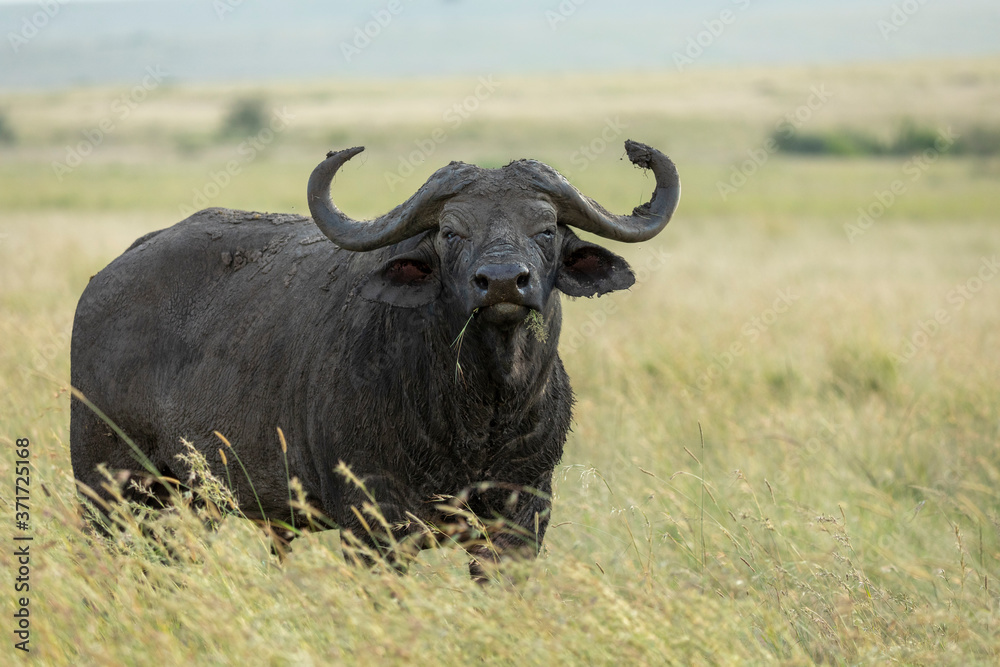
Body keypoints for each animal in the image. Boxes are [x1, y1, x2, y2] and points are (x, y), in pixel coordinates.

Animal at [72, 141, 680, 580]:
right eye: (450, 232)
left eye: (547, 229)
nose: (505, 281)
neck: (479, 412)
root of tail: (105, 279)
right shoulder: (374, 526)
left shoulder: (522, 519)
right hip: (110, 490)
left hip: (186, 501)